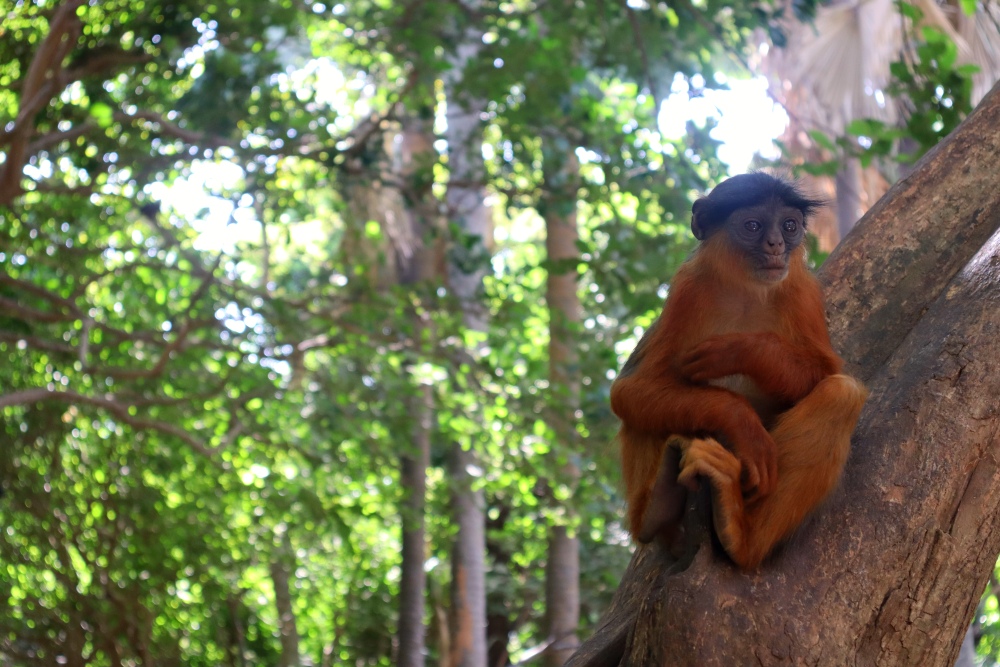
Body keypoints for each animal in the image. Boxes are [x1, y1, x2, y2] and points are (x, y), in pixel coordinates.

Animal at [608, 172, 868, 568]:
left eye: (789, 226)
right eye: (753, 226)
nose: (777, 245)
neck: (747, 290)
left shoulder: (801, 290)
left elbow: (824, 375)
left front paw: (743, 351)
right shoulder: (688, 287)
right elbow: (629, 390)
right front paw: (741, 423)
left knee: (842, 393)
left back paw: (741, 536)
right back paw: (657, 510)